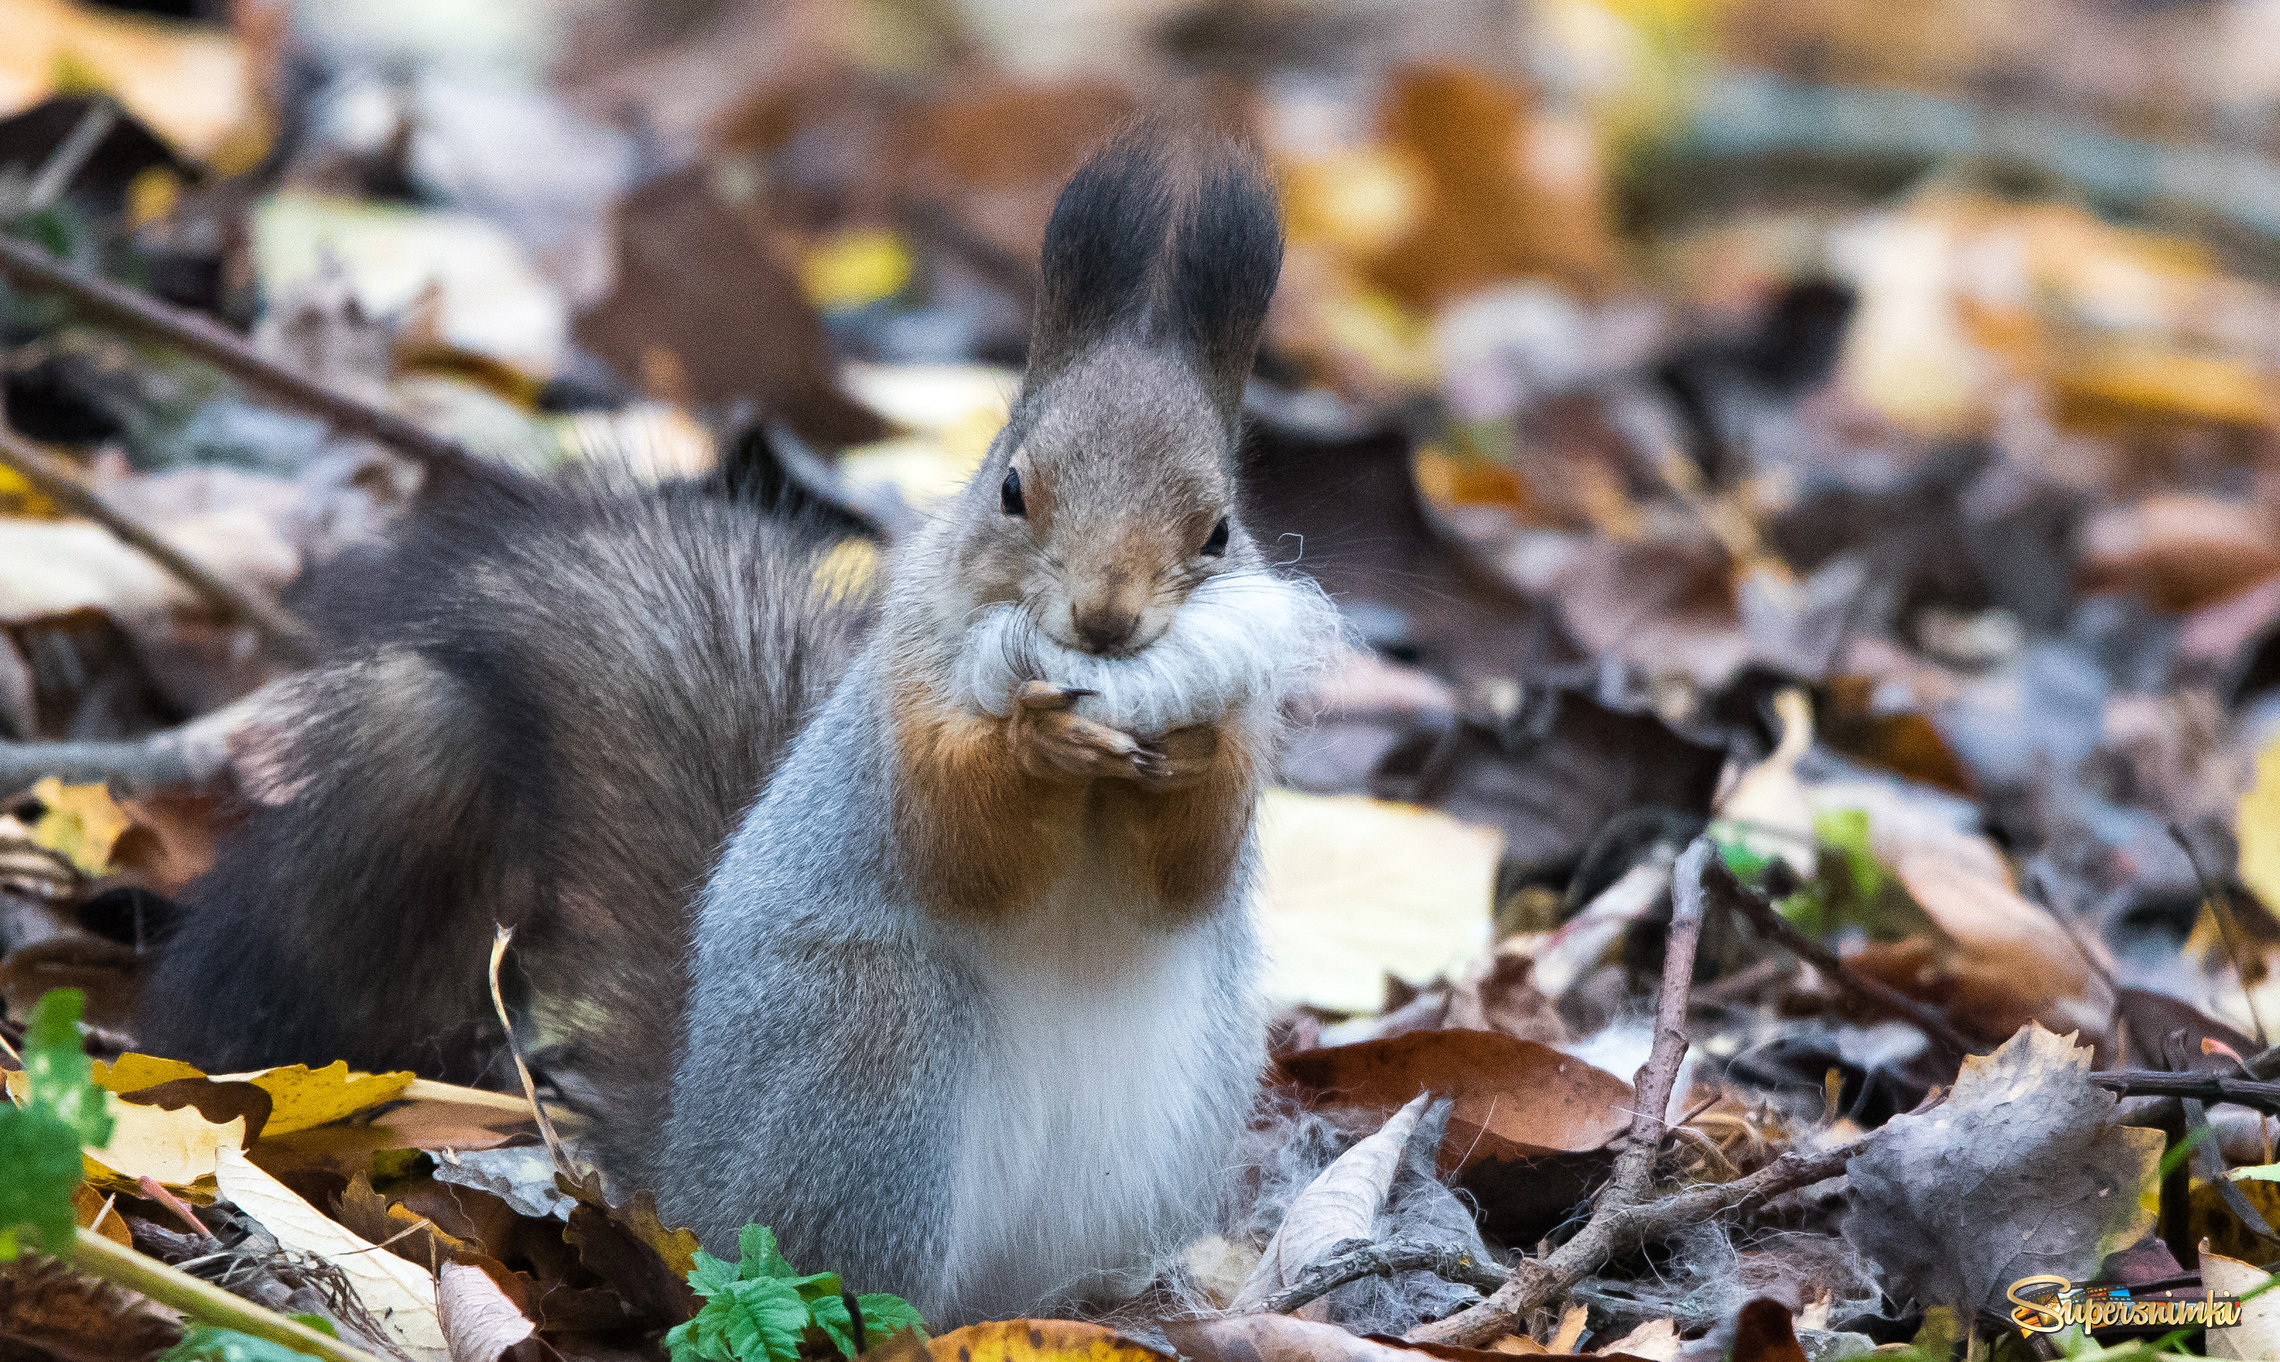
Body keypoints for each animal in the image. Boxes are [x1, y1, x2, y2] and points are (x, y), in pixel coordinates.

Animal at [133, 124, 1331, 1314]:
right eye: (1012, 490)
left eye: (1219, 529)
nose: (1107, 618)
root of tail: (687, 1184)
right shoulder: (902, 709)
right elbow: (962, 848)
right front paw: (1034, 744)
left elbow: (1189, 873)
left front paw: (1193, 745)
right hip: (868, 1043)